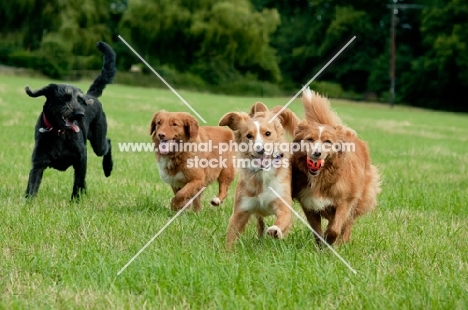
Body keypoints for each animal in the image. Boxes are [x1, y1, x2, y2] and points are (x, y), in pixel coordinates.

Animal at [25, 41, 117, 200]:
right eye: (64, 97)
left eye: (80, 100)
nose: (80, 114)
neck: (59, 133)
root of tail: (91, 95)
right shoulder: (38, 163)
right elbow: (32, 185)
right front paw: (28, 202)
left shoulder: (81, 158)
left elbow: (78, 182)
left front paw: (76, 201)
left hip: (98, 142)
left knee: (108, 142)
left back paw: (108, 168)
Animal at [218, 103, 298, 248]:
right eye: (249, 135)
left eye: (268, 133)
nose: (261, 150)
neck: (262, 174)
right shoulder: (241, 209)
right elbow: (231, 234)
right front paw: (227, 251)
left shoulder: (282, 203)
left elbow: (283, 218)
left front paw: (275, 230)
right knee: (260, 222)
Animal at [290, 88, 382, 246]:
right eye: (309, 139)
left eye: (328, 142)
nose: (317, 153)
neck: (320, 177)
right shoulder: (309, 204)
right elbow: (317, 230)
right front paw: (321, 246)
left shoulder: (345, 201)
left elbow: (335, 228)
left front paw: (330, 240)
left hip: (361, 196)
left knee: (348, 223)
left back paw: (343, 242)